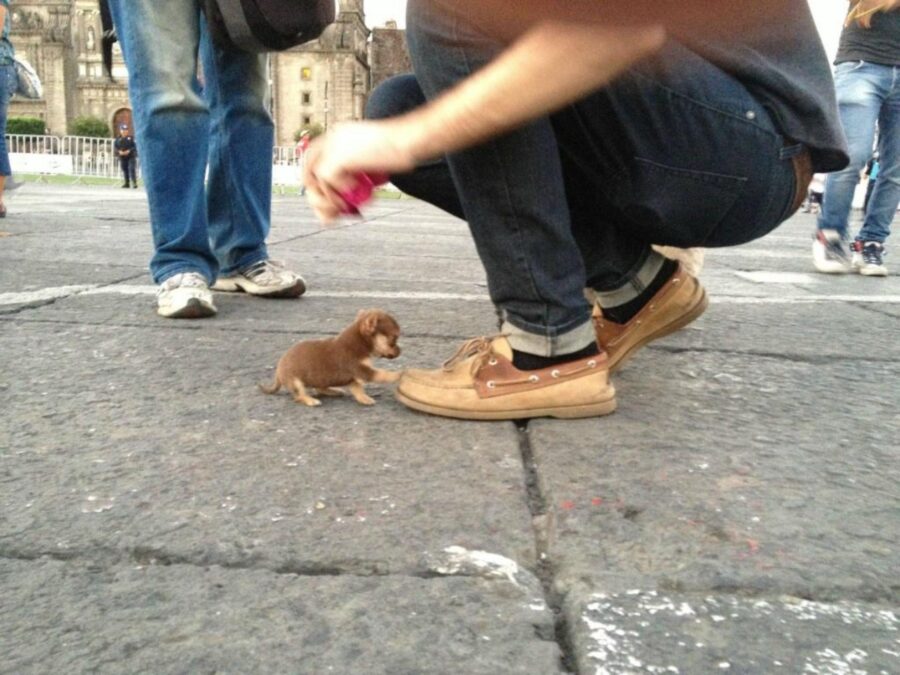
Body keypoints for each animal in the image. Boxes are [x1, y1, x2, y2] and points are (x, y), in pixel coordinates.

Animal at [260, 310, 400, 406]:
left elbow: (357, 389)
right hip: (296, 381)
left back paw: (334, 391)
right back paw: (310, 400)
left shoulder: (353, 377)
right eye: (394, 338)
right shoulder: (361, 371)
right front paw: (398, 374)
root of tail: (278, 372)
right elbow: (383, 374)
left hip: (320, 379)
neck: (359, 342)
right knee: (299, 395)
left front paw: (364, 398)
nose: (401, 351)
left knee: (319, 388)